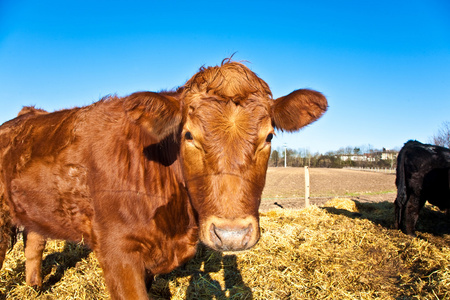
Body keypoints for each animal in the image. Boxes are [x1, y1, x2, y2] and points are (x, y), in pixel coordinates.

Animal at [0, 59, 326, 298]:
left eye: (269, 136)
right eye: (189, 135)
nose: (232, 235)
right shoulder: (117, 252)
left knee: (34, 243)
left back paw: (35, 287)